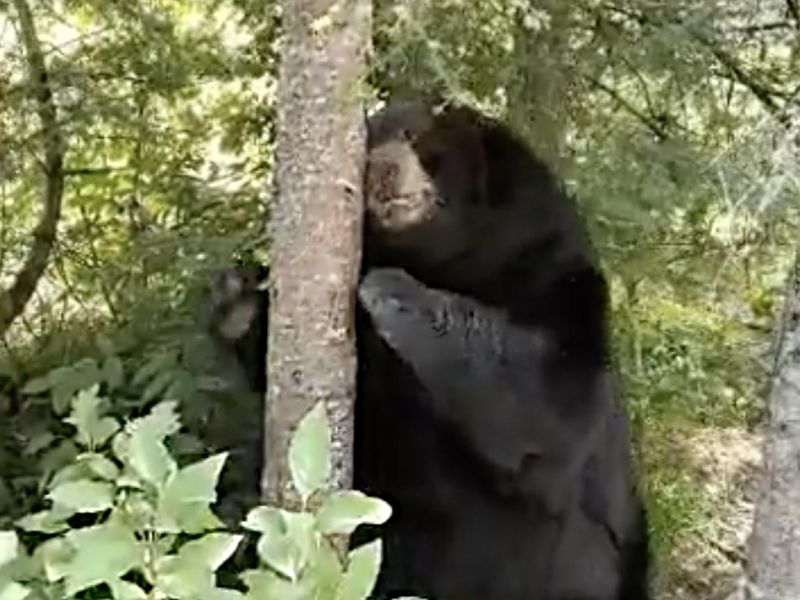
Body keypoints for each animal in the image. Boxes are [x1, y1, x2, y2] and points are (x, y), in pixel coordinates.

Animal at [206, 97, 650, 600]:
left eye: (415, 136)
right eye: (367, 143)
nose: (381, 169)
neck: (444, 259)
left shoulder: (552, 271)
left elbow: (554, 402)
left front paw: (393, 291)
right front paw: (238, 300)